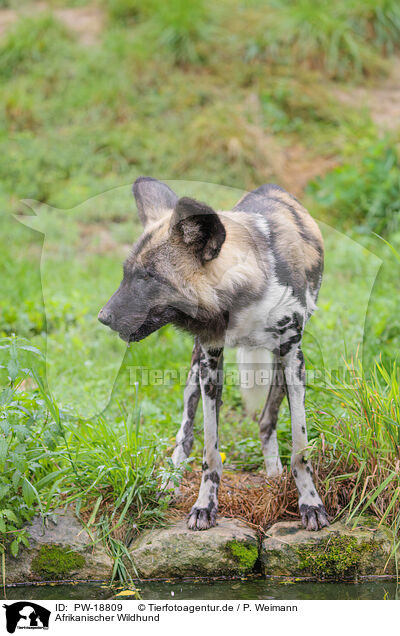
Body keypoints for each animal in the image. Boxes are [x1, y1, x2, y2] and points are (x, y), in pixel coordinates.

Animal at [99, 178, 328, 532]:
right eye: (127, 273)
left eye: (149, 277)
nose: (103, 317)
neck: (242, 297)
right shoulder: (210, 362)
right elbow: (209, 451)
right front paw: (204, 506)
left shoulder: (293, 359)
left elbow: (301, 449)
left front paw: (310, 503)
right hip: (196, 368)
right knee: (186, 433)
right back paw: (170, 483)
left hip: (280, 363)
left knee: (266, 421)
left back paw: (274, 476)